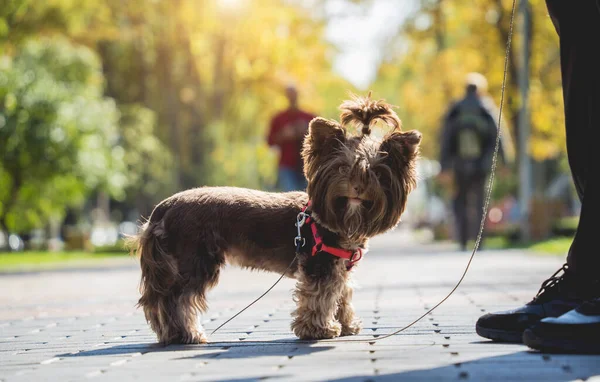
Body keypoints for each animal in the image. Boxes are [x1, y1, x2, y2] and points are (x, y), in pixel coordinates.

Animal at [131, 94, 422, 344]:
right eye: (342, 168)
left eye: (376, 173)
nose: (358, 187)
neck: (340, 219)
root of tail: (162, 209)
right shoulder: (320, 265)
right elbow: (320, 297)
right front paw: (319, 329)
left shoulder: (339, 267)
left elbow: (343, 294)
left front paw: (348, 324)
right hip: (193, 261)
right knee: (176, 299)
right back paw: (186, 334)